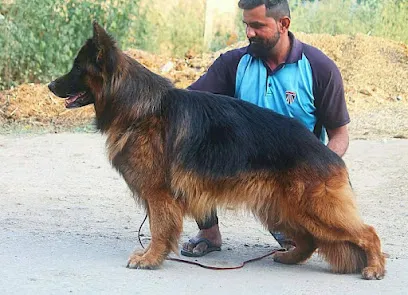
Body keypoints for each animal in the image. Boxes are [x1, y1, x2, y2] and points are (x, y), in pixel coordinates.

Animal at [48, 22, 386, 280]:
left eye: (77, 68)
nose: (50, 85)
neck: (138, 108)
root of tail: (327, 153)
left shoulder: (158, 194)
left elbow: (158, 228)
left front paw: (150, 258)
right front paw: (152, 256)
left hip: (313, 209)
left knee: (367, 232)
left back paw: (374, 268)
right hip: (281, 209)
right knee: (310, 240)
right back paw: (289, 258)